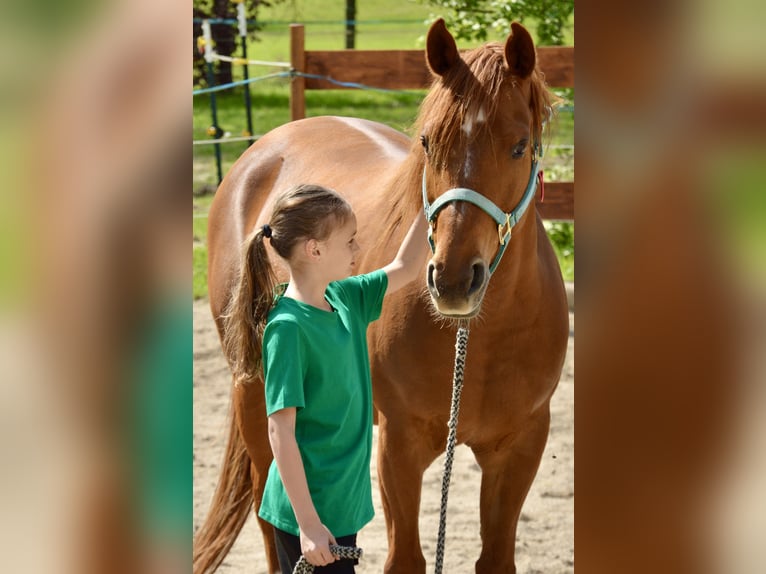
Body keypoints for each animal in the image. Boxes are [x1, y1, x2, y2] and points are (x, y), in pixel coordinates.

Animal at [195, 19, 568, 574]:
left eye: (520, 146)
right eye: (428, 142)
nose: (454, 279)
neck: (477, 340)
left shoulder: (520, 447)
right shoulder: (400, 445)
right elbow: (406, 557)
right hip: (252, 395)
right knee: (269, 514)